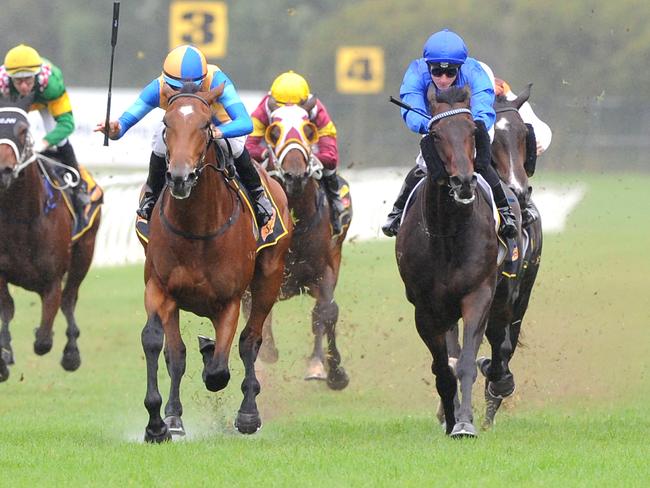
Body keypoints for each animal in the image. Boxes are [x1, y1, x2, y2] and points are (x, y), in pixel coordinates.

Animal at [0, 95, 100, 382]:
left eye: (23, 131)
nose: (3, 170)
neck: (20, 218)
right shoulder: (1, 274)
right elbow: (7, 309)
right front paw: (4, 357)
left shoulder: (52, 279)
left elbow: (43, 340)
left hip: (84, 254)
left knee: (69, 300)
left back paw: (71, 354)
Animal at [140, 84, 290, 442]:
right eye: (166, 123)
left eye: (206, 125)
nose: (179, 177)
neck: (197, 227)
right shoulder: (160, 288)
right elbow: (161, 346)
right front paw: (160, 423)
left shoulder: (230, 299)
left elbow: (221, 369)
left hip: (268, 278)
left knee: (250, 341)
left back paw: (248, 413)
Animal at [253, 102, 350, 388]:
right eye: (274, 132)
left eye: (309, 130)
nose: (294, 175)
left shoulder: (323, 270)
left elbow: (327, 312)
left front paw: (334, 372)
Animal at [390, 86, 502, 438]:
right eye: (436, 134)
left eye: (471, 131)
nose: (463, 181)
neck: (448, 234)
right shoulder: (426, 308)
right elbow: (442, 368)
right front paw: (451, 418)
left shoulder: (478, 294)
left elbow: (465, 363)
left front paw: (464, 422)